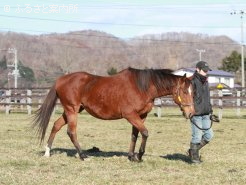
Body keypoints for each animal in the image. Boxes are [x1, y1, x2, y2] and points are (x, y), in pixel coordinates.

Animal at [32, 68, 194, 162]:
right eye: (184, 91)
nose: (191, 113)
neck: (142, 87)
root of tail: (61, 80)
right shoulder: (130, 115)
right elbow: (145, 133)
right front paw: (139, 155)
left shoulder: (141, 116)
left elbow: (135, 135)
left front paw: (131, 156)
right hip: (72, 110)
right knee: (71, 132)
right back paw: (83, 155)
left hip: (72, 110)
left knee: (56, 125)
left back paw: (47, 152)